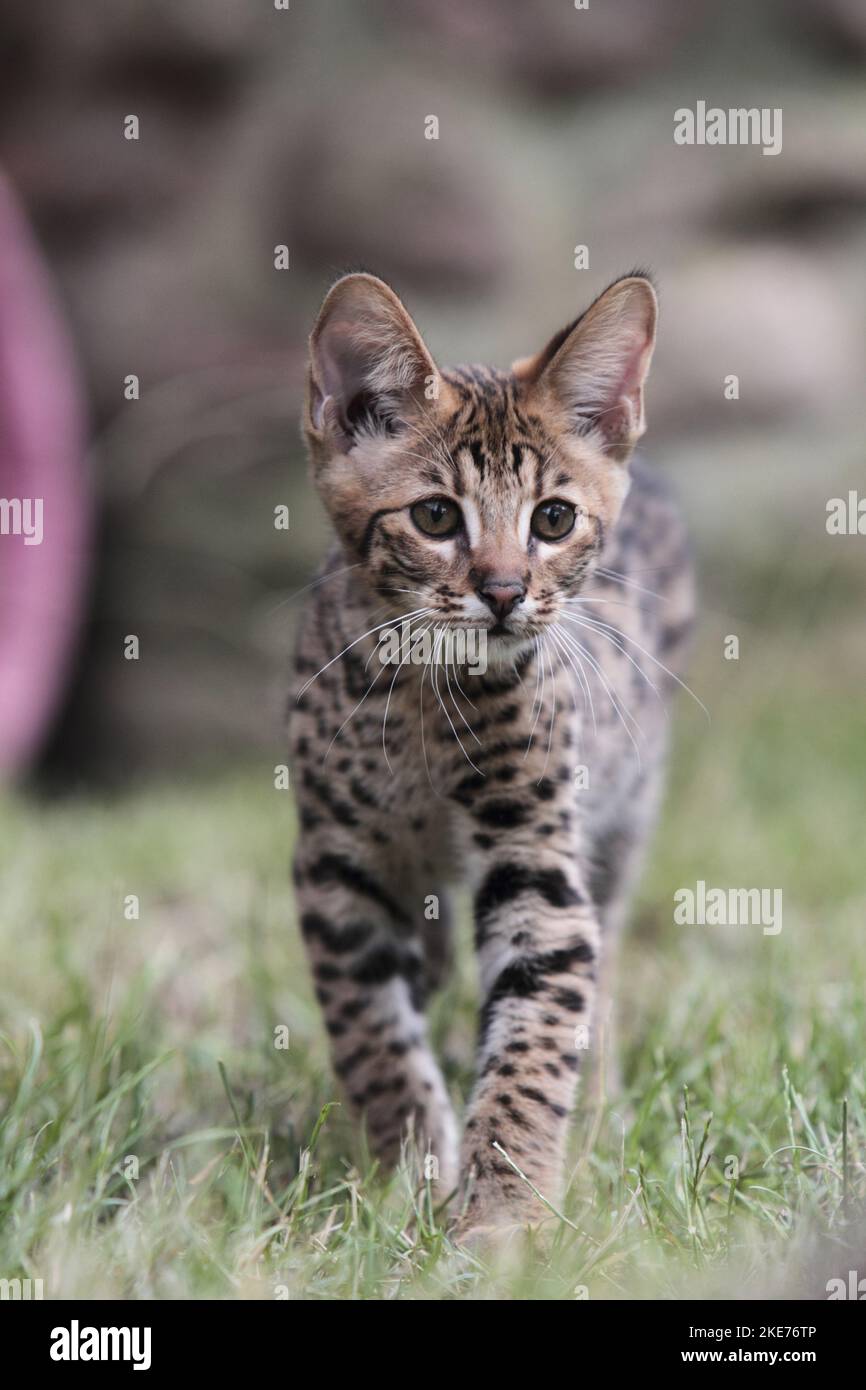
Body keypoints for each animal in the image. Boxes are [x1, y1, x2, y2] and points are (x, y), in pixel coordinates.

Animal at [287, 271, 695, 1239]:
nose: (506, 593)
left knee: (601, 963)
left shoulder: (536, 853)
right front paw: (405, 1170)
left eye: (554, 518)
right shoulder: (334, 860)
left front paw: (503, 1214)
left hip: (620, 818)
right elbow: (369, 1029)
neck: (420, 692)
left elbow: (536, 1034)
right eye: (436, 515)